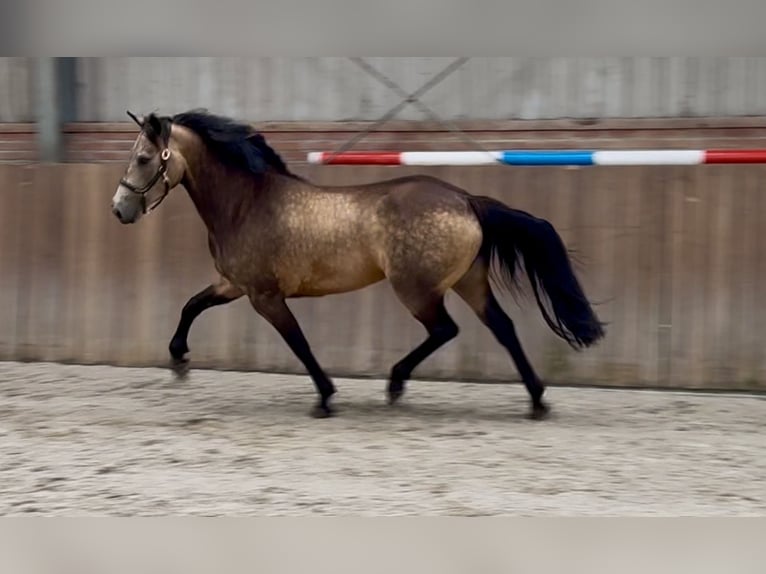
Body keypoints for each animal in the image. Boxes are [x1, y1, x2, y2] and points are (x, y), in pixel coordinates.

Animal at [111, 109, 605, 420]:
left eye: (143, 158)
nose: (119, 209)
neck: (247, 203)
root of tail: (467, 200)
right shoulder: (234, 285)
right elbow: (191, 305)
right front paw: (178, 359)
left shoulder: (264, 296)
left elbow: (299, 343)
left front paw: (326, 398)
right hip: (469, 281)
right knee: (501, 327)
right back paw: (536, 401)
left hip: (417, 290)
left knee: (445, 329)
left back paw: (396, 383)